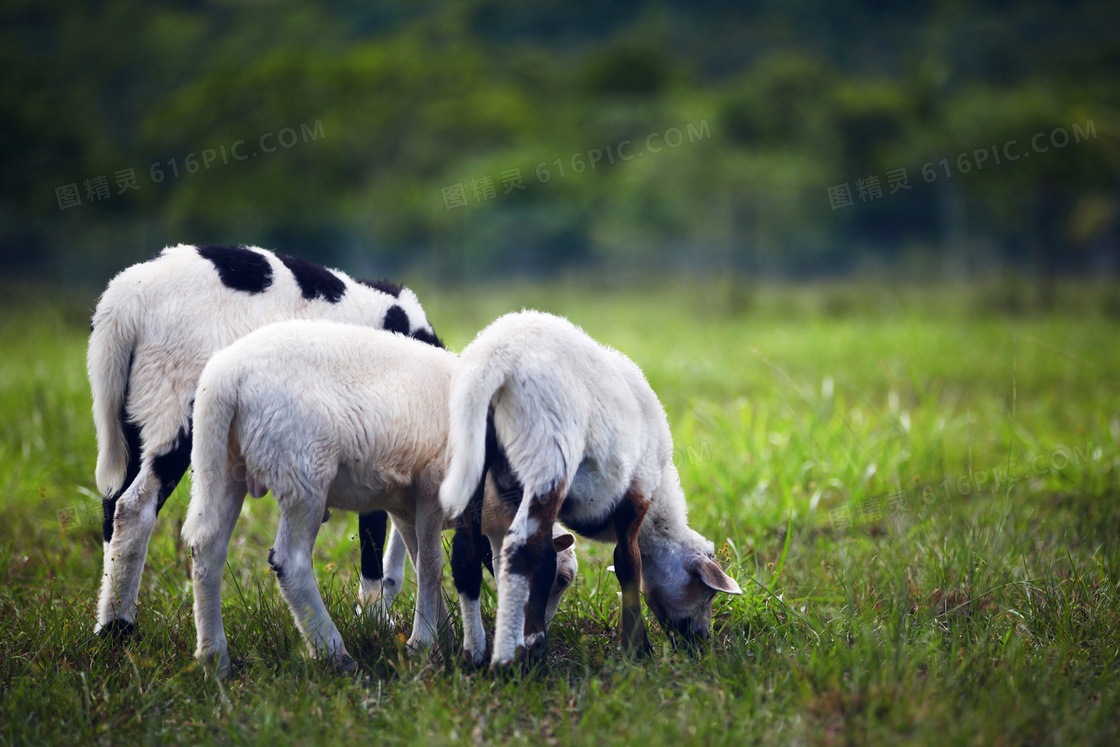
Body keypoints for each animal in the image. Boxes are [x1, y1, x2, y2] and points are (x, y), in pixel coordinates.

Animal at [88, 244, 436, 636]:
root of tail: (126, 298)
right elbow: (374, 530)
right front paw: (376, 618)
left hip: (134, 414)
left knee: (112, 505)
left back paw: (108, 625)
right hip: (176, 407)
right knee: (135, 508)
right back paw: (120, 628)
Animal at [181, 322, 577, 676]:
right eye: (559, 579)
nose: (537, 648)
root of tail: (226, 377)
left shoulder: (406, 506)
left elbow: (420, 561)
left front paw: (441, 632)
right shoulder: (433, 487)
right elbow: (432, 566)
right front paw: (426, 644)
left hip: (221, 465)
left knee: (207, 551)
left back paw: (215, 660)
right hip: (304, 470)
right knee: (290, 561)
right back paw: (335, 653)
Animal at [439, 306, 743, 667]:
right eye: (708, 592)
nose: (700, 643)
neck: (660, 507)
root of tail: (494, 358)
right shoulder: (637, 493)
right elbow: (628, 564)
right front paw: (637, 651)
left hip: (470, 456)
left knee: (468, 552)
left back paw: (476, 654)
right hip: (548, 453)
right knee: (524, 553)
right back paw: (515, 660)